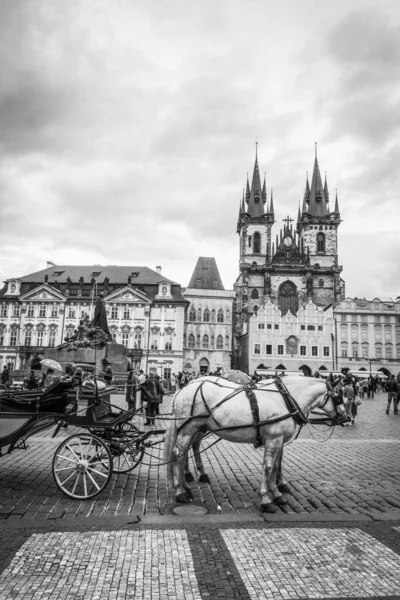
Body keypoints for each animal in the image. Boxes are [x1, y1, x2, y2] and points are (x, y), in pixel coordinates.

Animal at [164, 376, 346, 510]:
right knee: (179, 454)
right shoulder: (274, 438)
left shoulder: (279, 440)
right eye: (338, 397)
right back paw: (180, 491)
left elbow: (276, 465)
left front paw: (277, 493)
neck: (283, 398)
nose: (346, 417)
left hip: (196, 428)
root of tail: (182, 389)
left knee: (187, 451)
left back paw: (187, 484)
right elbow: (268, 467)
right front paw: (266, 498)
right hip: (189, 428)